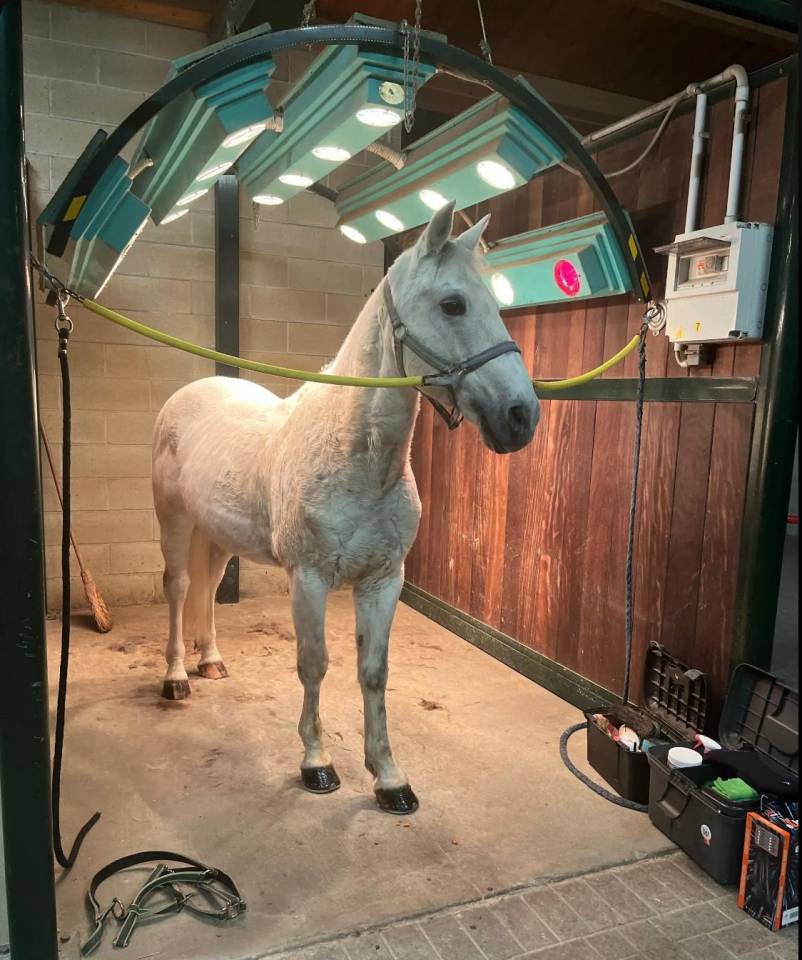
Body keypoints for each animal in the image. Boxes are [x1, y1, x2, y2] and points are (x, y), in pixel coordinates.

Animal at [151, 201, 540, 814]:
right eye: (453, 303)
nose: (521, 416)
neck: (358, 457)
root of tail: (189, 394)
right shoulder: (308, 579)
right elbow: (314, 664)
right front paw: (317, 762)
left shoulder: (383, 581)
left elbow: (373, 671)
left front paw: (389, 777)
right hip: (173, 519)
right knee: (179, 587)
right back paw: (175, 677)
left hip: (216, 534)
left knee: (208, 589)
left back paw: (209, 660)